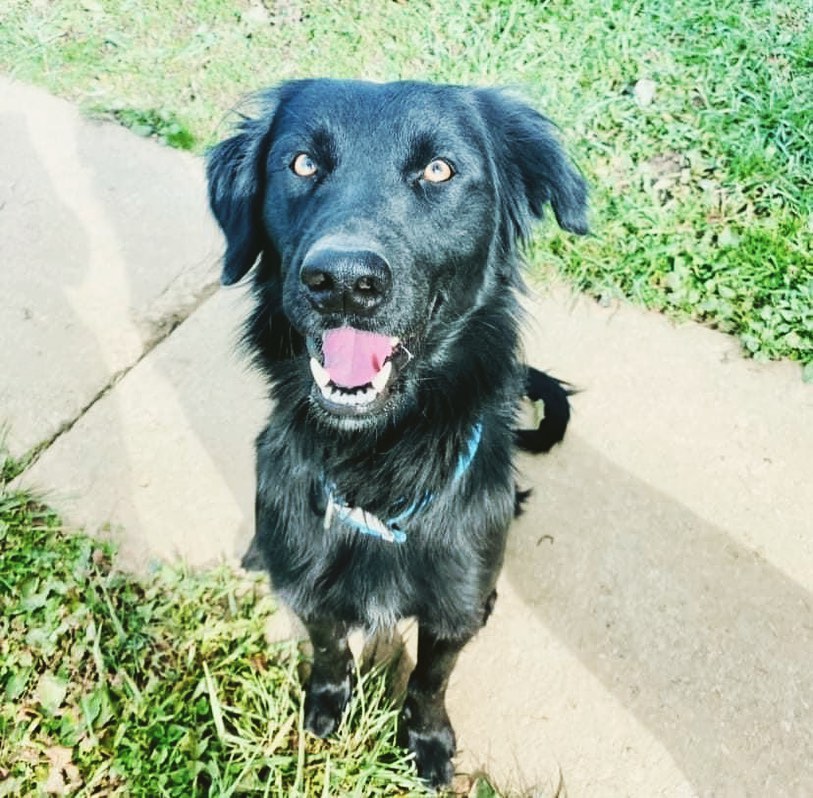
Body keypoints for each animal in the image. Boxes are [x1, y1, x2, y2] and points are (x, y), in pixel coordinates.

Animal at [206, 78, 588, 792]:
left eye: (438, 170)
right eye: (302, 163)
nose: (342, 283)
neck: (375, 467)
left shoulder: (452, 605)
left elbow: (431, 678)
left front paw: (427, 740)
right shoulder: (311, 584)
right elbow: (329, 647)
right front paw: (326, 704)